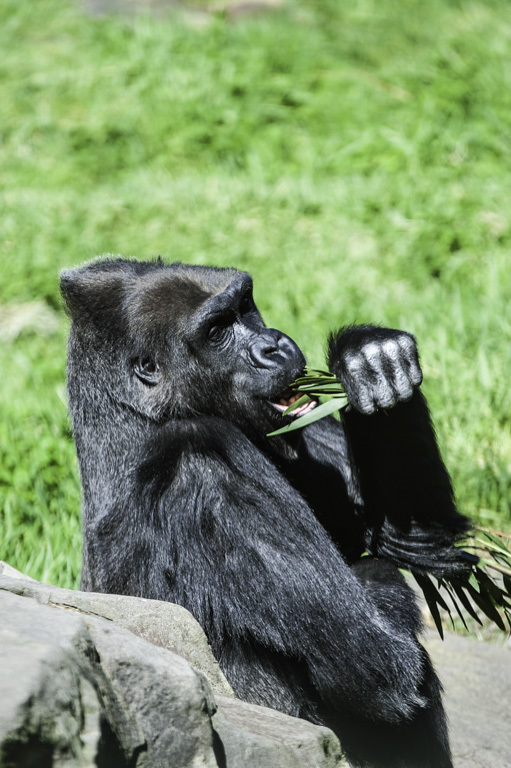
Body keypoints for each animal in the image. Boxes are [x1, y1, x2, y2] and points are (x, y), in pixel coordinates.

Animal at [61, 260, 472, 768]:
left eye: (245, 306)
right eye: (216, 331)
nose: (273, 347)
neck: (137, 419)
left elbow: (423, 534)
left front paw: (369, 356)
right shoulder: (205, 468)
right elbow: (380, 668)